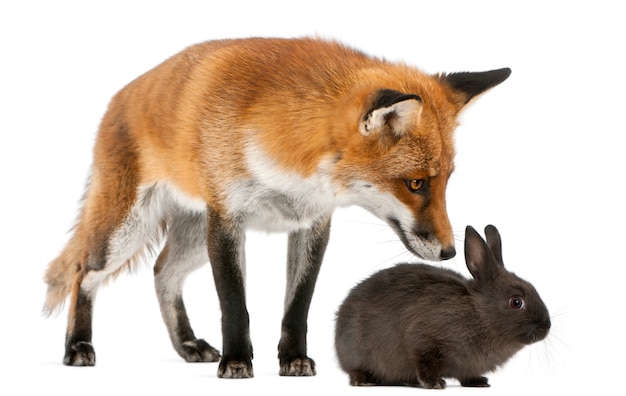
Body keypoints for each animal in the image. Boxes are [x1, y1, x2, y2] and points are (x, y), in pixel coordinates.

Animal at [42, 36, 508, 378]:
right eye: (415, 184)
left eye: (445, 182)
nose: (450, 252)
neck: (291, 160)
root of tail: (120, 96)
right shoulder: (227, 221)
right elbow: (235, 305)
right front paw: (236, 361)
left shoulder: (312, 224)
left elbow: (297, 306)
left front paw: (293, 359)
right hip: (126, 231)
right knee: (84, 272)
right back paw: (78, 345)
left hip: (190, 240)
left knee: (162, 272)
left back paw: (187, 344)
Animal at [334, 224, 548, 388]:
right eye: (516, 302)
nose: (546, 327)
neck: (478, 314)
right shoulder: (422, 339)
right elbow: (424, 362)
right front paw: (434, 383)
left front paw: (478, 382)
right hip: (356, 353)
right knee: (355, 370)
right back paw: (364, 381)